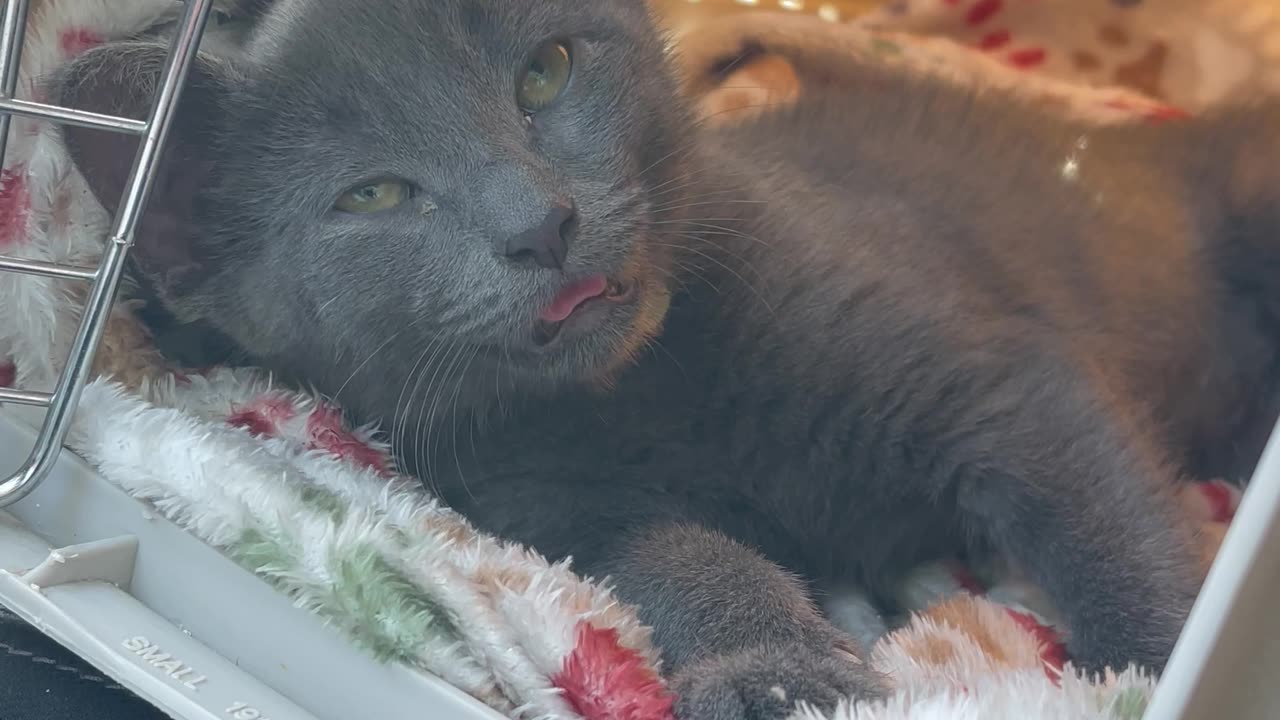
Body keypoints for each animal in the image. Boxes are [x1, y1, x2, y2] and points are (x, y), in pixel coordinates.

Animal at [47, 2, 1280, 712]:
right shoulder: (544, 507)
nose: (540, 223)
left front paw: (1163, 661)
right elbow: (668, 554)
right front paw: (771, 668)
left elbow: (1106, 529)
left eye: (544, 74)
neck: (645, 385)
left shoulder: (998, 382)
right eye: (376, 196)